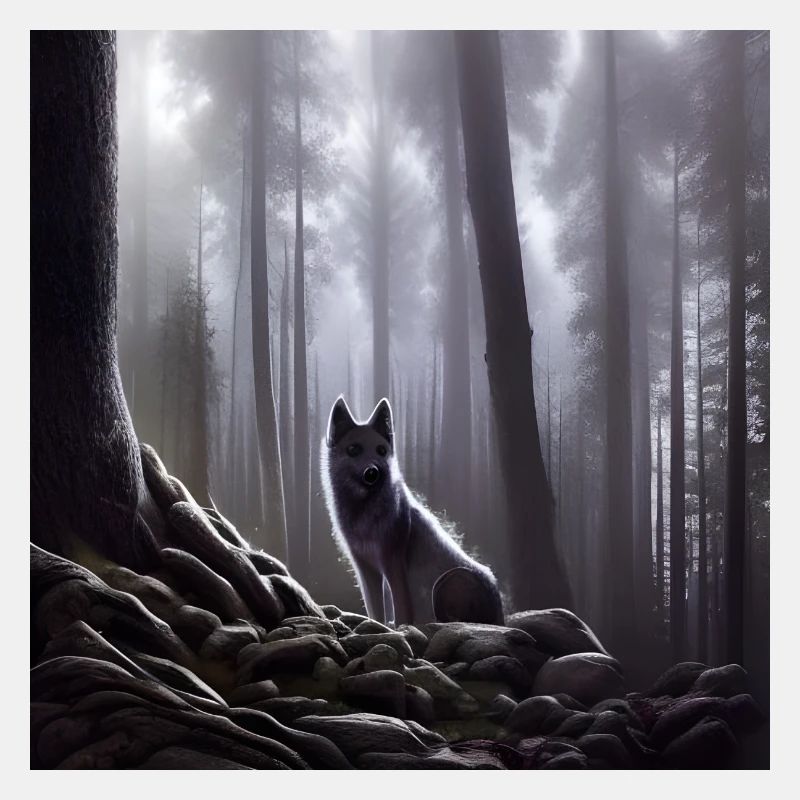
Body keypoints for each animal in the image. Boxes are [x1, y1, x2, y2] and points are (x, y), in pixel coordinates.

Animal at [321, 395, 504, 626]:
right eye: (354, 449)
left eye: (381, 451)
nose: (373, 471)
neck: (365, 515)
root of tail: (501, 614)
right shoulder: (364, 568)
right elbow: (374, 610)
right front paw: (378, 625)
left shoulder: (394, 563)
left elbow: (401, 608)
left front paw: (401, 628)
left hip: (447, 581)